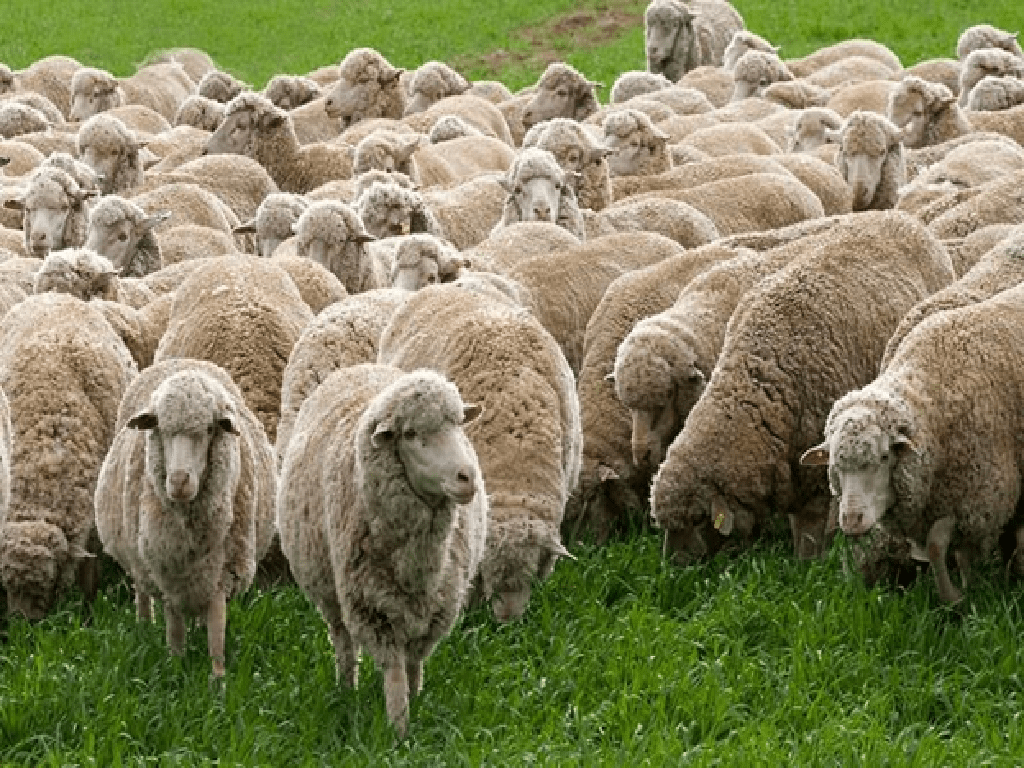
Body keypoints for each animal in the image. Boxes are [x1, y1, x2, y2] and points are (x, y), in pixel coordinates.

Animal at [0, 293, 136, 619]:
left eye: (48, 584)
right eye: (6, 585)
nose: (24, 625)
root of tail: (58, 295)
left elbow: (90, 574)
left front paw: (88, 616)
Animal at [96, 359, 275, 676]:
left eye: (209, 428)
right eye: (161, 427)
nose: (179, 481)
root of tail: (183, 361)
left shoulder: (222, 574)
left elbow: (217, 631)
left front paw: (218, 678)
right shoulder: (165, 570)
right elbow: (175, 631)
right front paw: (176, 669)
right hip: (138, 557)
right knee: (142, 593)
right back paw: (144, 627)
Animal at [278, 364, 486, 735]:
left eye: (459, 424)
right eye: (411, 433)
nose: (467, 477)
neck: (417, 563)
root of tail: (358, 367)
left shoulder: (437, 606)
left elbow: (414, 663)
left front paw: (417, 704)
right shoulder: (371, 608)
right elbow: (393, 671)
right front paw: (398, 730)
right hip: (331, 593)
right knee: (343, 643)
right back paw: (346, 690)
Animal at [650, 211, 954, 565]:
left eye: (697, 519)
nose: (671, 569)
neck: (757, 390)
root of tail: (903, 218)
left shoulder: (814, 480)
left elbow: (807, 538)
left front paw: (808, 565)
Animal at [804, 279, 1024, 602]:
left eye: (885, 457)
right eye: (834, 465)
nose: (851, 521)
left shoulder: (977, 495)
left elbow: (937, 546)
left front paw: (954, 597)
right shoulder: (950, 496)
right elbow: (955, 553)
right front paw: (968, 590)